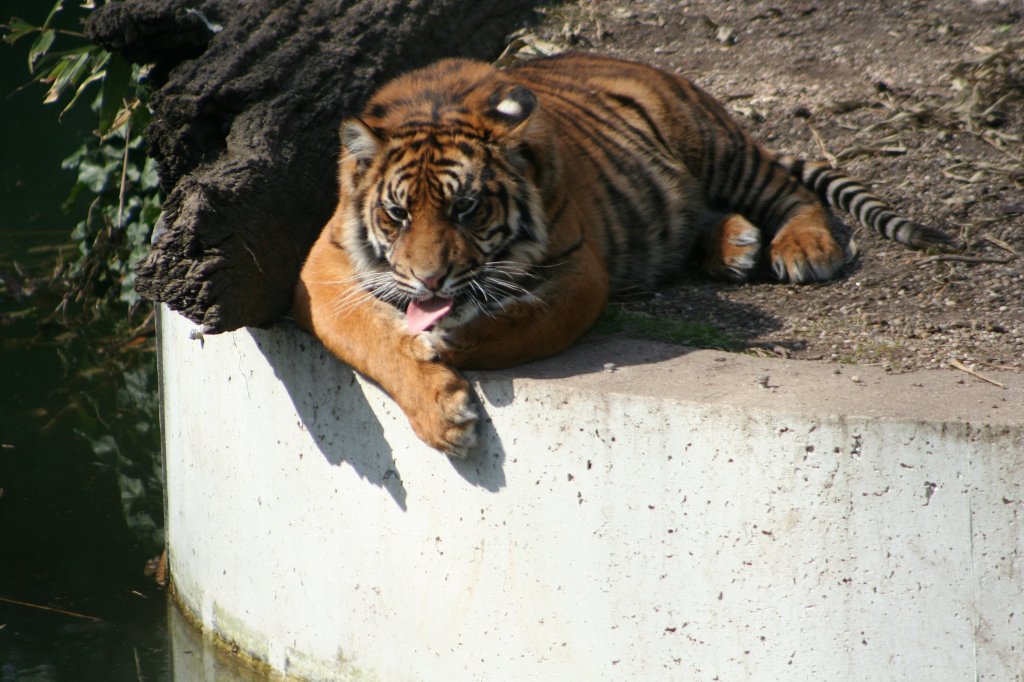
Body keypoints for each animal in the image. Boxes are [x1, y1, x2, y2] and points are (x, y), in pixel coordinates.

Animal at [290, 51, 950, 456]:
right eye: (398, 214)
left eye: (467, 208)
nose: (429, 281)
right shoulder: (321, 270)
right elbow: (367, 338)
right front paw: (443, 415)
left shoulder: (581, 269)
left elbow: (521, 328)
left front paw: (449, 344)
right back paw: (733, 245)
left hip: (715, 148)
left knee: (790, 191)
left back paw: (804, 247)